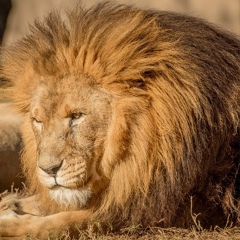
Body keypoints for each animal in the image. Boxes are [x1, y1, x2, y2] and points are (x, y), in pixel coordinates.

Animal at [0, 1, 240, 238]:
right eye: (38, 121)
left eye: (76, 116)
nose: (48, 170)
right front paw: (11, 202)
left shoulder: (157, 210)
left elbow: (64, 222)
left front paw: (11, 222)